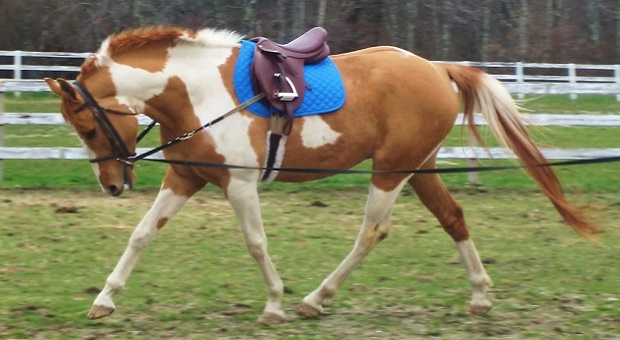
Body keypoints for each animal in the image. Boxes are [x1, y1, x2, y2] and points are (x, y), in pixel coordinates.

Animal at [43, 26, 596, 324]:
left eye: (88, 126)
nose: (113, 185)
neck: (197, 92)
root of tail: (436, 68)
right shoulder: (186, 178)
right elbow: (141, 235)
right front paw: (104, 300)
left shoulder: (239, 184)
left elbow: (256, 243)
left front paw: (274, 304)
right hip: (417, 168)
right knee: (453, 217)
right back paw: (480, 295)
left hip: (390, 171)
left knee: (372, 231)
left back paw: (316, 298)